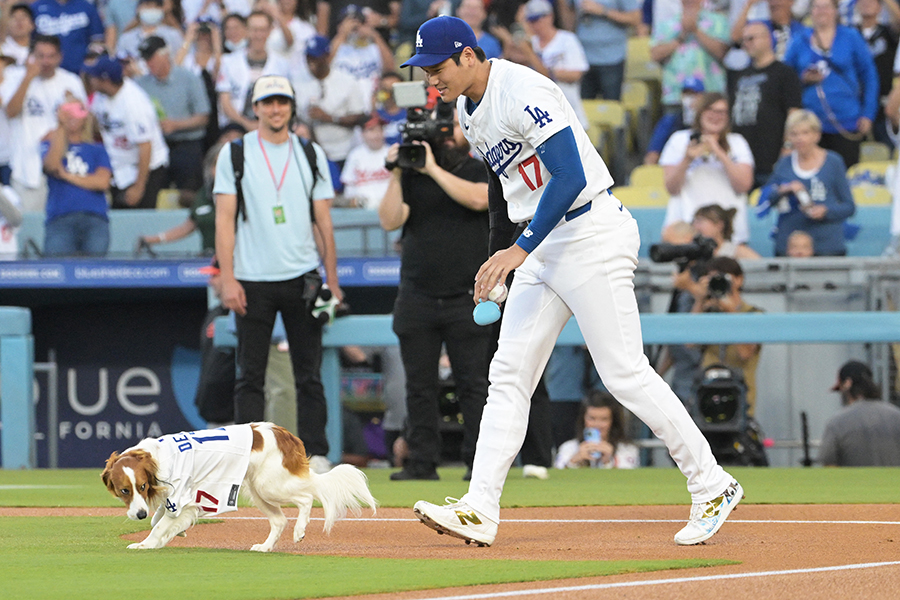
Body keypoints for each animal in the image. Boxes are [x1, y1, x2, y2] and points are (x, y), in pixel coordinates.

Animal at [102, 420, 376, 552]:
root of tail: (284, 434)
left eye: (142, 486)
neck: (154, 460)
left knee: (307, 498)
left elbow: (158, 526)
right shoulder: (176, 501)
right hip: (258, 490)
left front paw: (146, 544)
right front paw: (176, 532)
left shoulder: (182, 498)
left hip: (270, 486)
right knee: (279, 521)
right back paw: (266, 547)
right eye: (125, 491)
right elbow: (157, 520)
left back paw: (300, 530)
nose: (138, 514)